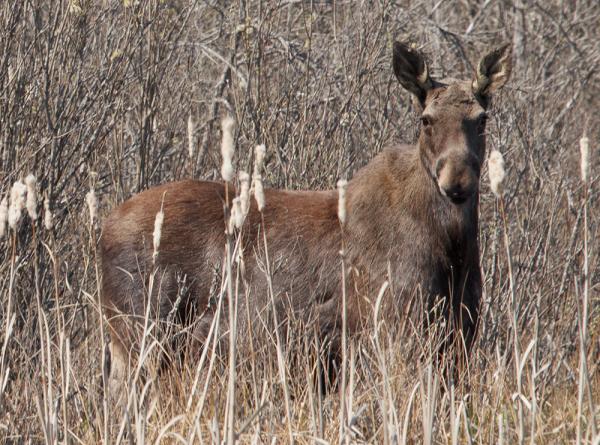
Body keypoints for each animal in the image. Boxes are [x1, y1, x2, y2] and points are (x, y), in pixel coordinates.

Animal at [99, 41, 510, 396]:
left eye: (481, 118)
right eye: (426, 119)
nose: (456, 181)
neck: (453, 250)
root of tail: (101, 231)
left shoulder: (459, 337)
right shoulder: (394, 329)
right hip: (141, 335)